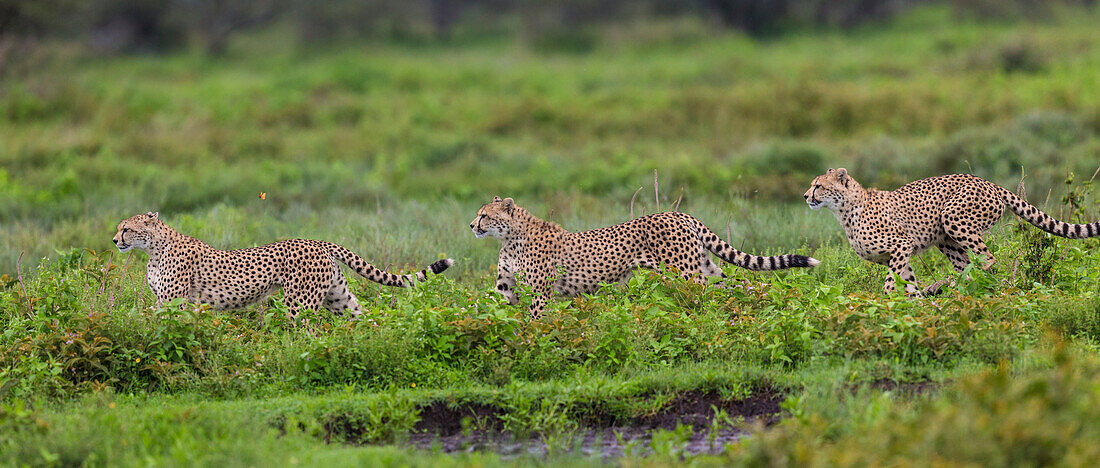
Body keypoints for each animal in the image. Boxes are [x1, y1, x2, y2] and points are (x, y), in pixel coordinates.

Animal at [113, 211, 453, 317]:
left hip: (299, 302)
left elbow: (153, 322)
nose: (115, 241)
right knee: (364, 318)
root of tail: (317, 241)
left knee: (310, 333)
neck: (153, 249)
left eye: (126, 228)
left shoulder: (172, 301)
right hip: (338, 297)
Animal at [468, 194, 822, 314]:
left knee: (708, 293)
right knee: (734, 286)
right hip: (705, 266)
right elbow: (491, 305)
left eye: (484, 215)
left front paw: (534, 341)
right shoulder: (505, 286)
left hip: (685, 272)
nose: (471, 225)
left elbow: (536, 318)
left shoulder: (541, 291)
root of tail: (677, 213)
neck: (510, 237)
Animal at [805, 167, 1100, 290]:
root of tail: (988, 182)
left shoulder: (902, 245)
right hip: (946, 239)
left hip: (953, 218)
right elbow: (907, 284)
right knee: (967, 265)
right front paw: (913, 308)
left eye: (818, 185)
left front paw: (883, 304)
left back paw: (946, 284)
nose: (805, 196)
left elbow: (890, 283)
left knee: (987, 260)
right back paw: (949, 287)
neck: (845, 210)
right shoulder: (898, 255)